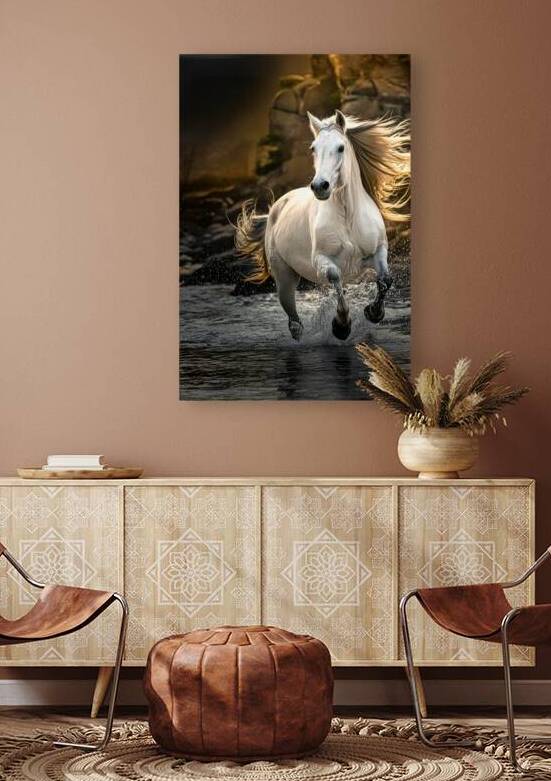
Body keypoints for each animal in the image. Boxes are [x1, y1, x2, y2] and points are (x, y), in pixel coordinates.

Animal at [235, 109, 410, 341]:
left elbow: (386, 280)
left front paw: (373, 312)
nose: (320, 186)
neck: (348, 218)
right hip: (284, 278)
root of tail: (276, 208)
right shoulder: (321, 259)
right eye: (313, 148)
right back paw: (300, 333)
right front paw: (341, 326)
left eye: (341, 147)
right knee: (293, 316)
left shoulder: (378, 251)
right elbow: (335, 277)